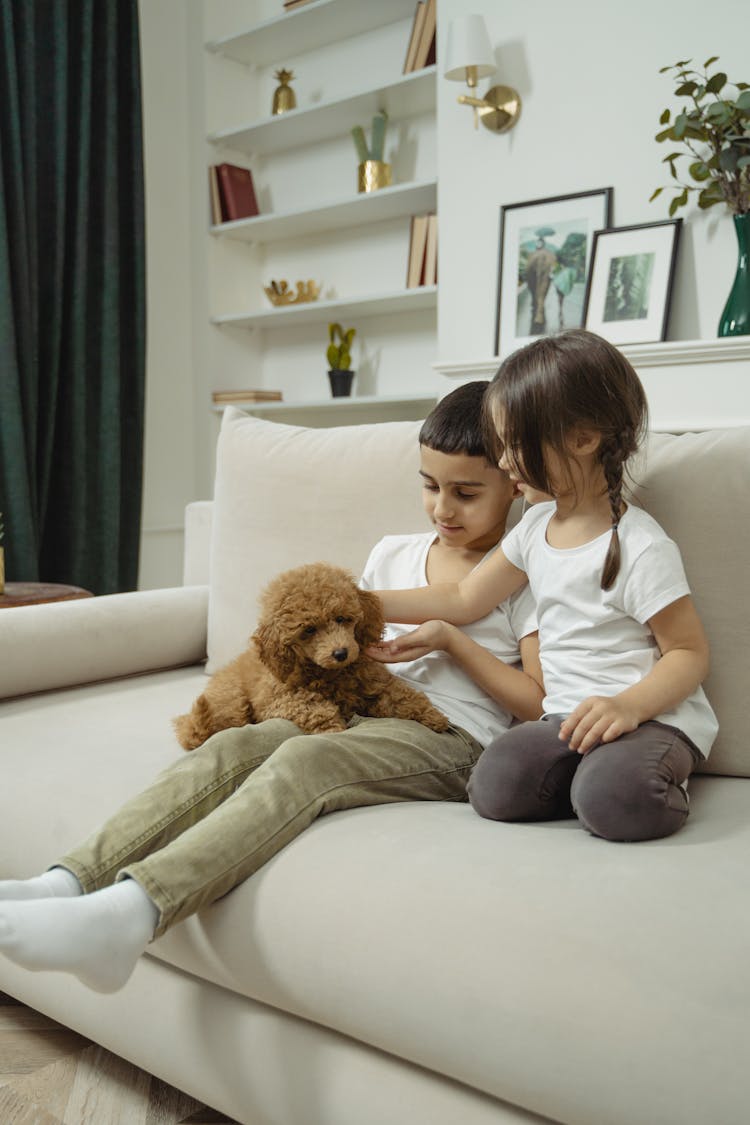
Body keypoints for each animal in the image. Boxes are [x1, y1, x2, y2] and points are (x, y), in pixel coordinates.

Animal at [173, 558, 449, 751]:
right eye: (308, 631)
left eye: (342, 618)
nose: (341, 653)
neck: (332, 674)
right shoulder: (279, 698)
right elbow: (313, 706)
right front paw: (333, 729)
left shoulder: (374, 682)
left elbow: (400, 695)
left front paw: (432, 716)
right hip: (232, 704)